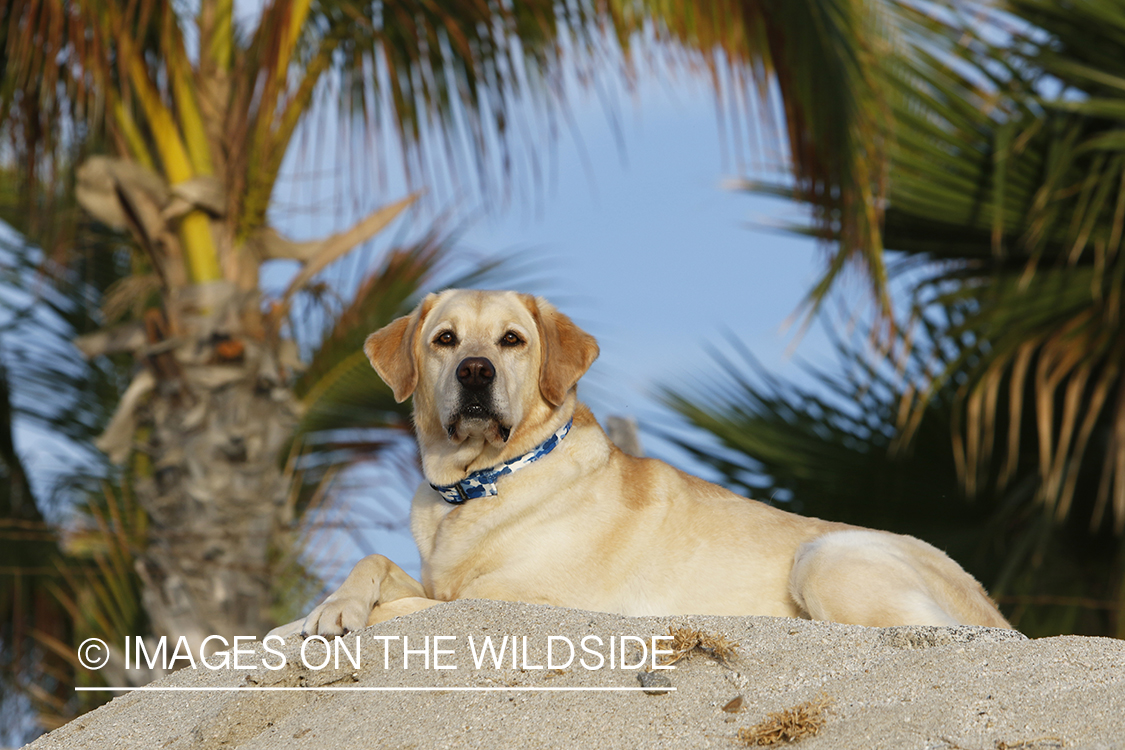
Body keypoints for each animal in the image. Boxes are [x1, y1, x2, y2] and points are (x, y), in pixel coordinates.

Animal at [272, 290, 1012, 638]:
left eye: (511, 341)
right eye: (445, 339)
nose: (475, 372)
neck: (482, 482)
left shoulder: (528, 600)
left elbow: (417, 609)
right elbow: (373, 566)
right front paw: (316, 614)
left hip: (826, 555)